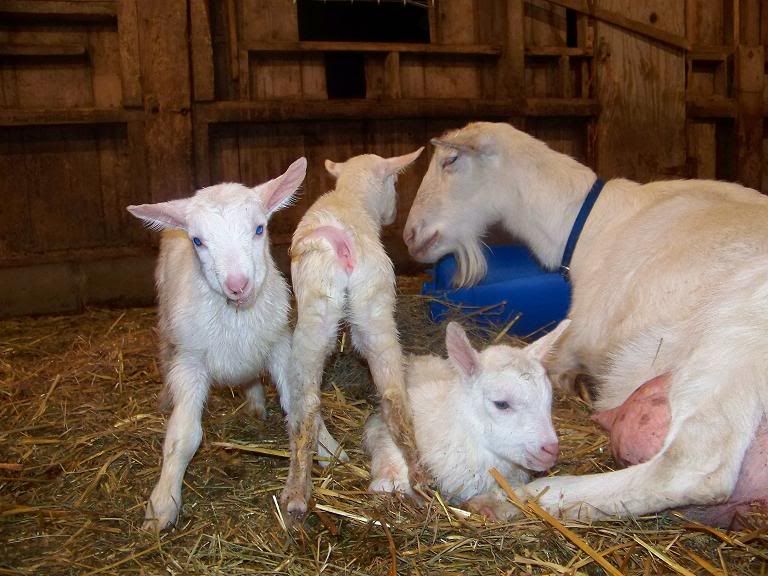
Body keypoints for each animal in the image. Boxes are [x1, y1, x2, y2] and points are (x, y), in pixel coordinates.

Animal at [403, 121, 768, 527]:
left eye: (450, 160)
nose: (409, 236)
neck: (595, 223)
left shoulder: (574, 341)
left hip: (732, 341)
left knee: (695, 466)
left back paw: (510, 499)